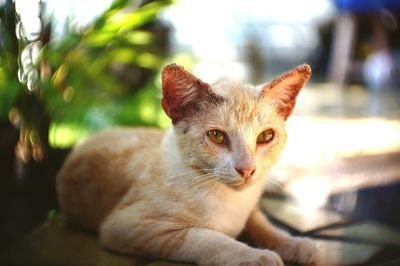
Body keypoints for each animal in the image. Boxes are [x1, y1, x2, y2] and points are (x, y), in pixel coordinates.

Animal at [56, 63, 318, 264]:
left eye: (265, 136)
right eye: (217, 136)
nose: (247, 170)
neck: (231, 201)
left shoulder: (251, 208)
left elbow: (262, 223)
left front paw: (296, 243)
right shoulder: (126, 226)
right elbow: (206, 238)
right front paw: (255, 256)